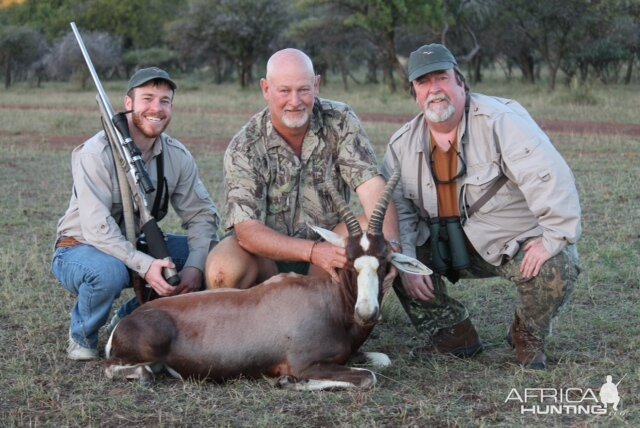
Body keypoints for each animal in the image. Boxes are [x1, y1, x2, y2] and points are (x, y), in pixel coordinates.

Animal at [105, 166, 432, 392]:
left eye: (384, 262)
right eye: (348, 262)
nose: (366, 312)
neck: (329, 302)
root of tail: (124, 323)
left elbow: (381, 361)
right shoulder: (305, 363)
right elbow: (368, 377)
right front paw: (288, 382)